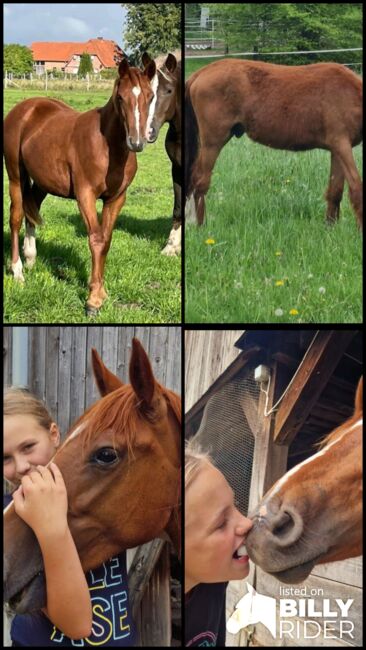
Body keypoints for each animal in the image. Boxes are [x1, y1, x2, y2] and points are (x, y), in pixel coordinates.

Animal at [3, 55, 156, 314]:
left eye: (151, 96)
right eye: (120, 97)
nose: (136, 142)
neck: (107, 146)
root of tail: (23, 109)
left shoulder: (116, 199)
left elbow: (106, 240)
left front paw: (101, 291)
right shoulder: (85, 195)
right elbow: (96, 239)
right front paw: (93, 300)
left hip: (43, 182)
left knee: (31, 211)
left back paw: (31, 258)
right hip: (15, 176)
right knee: (15, 217)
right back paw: (18, 271)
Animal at [186, 58, 364, 229]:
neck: (350, 94)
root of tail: (202, 72)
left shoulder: (338, 148)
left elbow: (336, 190)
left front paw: (330, 227)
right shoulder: (341, 144)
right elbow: (356, 187)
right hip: (212, 143)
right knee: (200, 181)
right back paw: (201, 227)